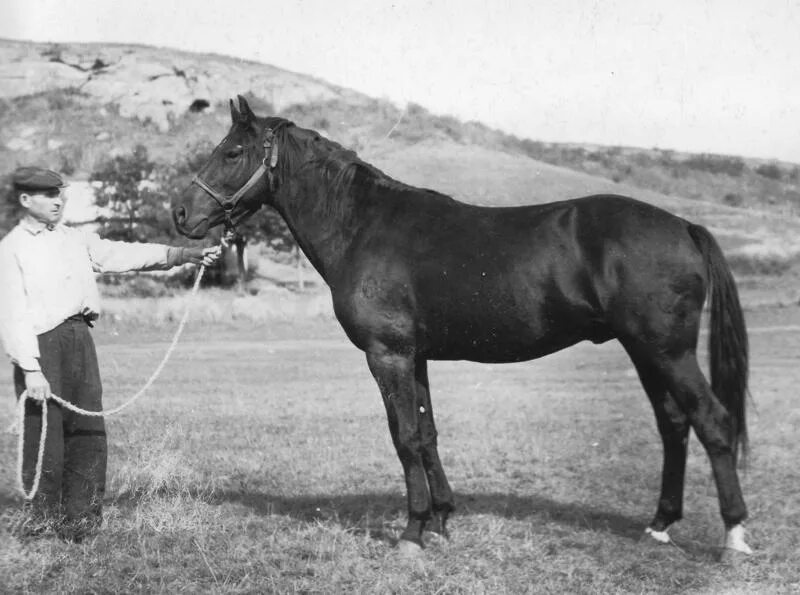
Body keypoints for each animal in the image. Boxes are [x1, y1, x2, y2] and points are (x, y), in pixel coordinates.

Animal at [172, 95, 752, 556]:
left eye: (231, 152)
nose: (181, 213)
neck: (364, 225)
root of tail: (683, 226)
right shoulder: (415, 356)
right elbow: (427, 432)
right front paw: (441, 520)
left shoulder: (387, 355)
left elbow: (404, 437)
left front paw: (411, 533)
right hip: (645, 350)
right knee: (674, 425)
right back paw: (659, 525)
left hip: (668, 351)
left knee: (712, 421)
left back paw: (734, 537)